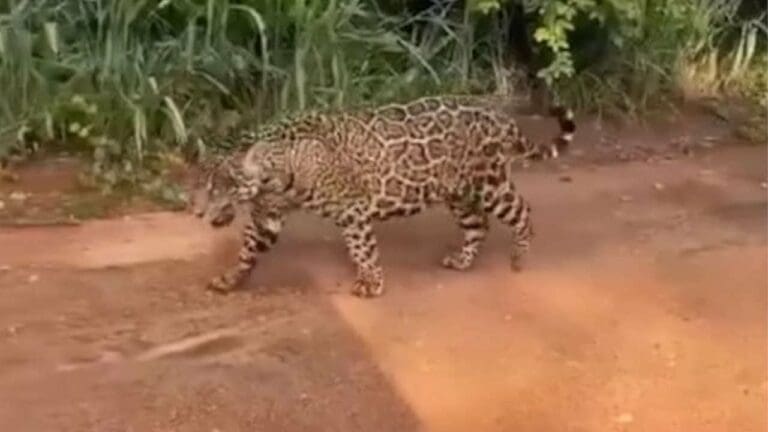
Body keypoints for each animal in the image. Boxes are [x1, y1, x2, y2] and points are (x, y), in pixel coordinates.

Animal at [189, 95, 576, 298]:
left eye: (221, 186)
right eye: (196, 187)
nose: (196, 213)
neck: (278, 168)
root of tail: (500, 117)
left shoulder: (352, 210)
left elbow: (362, 249)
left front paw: (371, 283)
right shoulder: (267, 217)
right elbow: (247, 251)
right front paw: (229, 279)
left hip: (490, 184)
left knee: (522, 211)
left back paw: (519, 257)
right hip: (458, 192)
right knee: (478, 225)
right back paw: (462, 261)